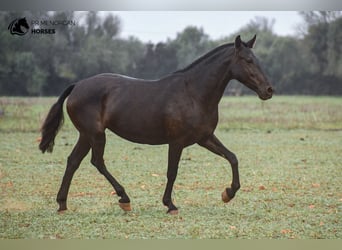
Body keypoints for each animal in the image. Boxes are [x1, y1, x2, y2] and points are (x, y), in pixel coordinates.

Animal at [39, 35, 272, 215]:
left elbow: (232, 157)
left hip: (86, 135)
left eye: (257, 59)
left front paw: (228, 193)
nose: (268, 90)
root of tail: (77, 85)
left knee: (73, 162)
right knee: (97, 162)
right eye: (248, 60)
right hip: (95, 134)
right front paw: (170, 205)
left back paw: (62, 204)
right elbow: (172, 172)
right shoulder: (176, 142)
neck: (193, 93)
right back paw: (124, 198)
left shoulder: (204, 138)